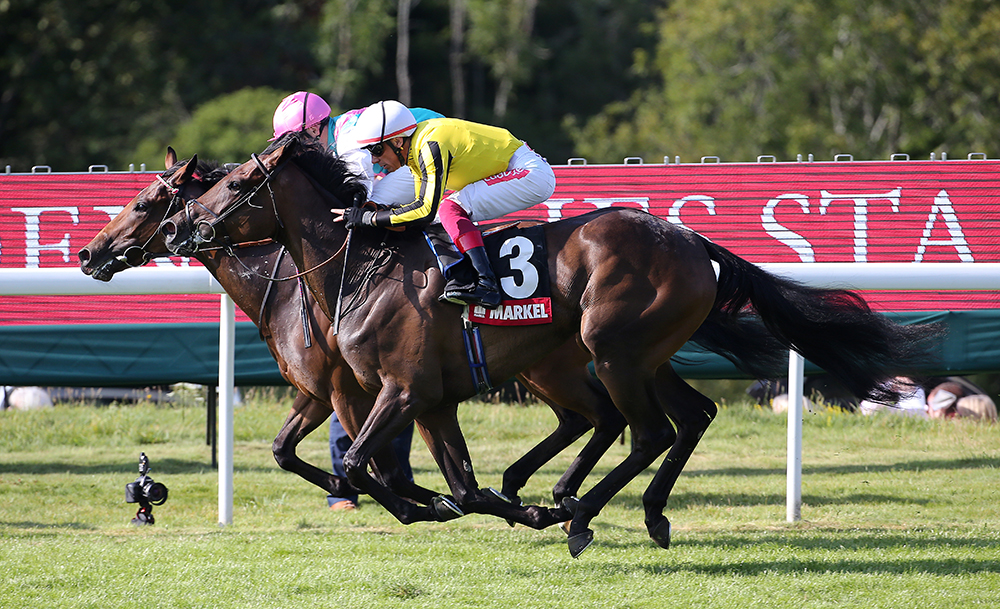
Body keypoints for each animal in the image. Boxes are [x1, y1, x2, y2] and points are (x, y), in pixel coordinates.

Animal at [80, 150, 624, 520]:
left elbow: (374, 466)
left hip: (547, 367)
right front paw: (423, 498)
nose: (89, 253)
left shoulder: (354, 391)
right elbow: (286, 450)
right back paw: (527, 487)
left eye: (144, 203)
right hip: (544, 368)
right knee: (591, 417)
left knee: (598, 415)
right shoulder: (318, 392)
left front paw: (413, 501)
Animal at [160, 133, 940, 556]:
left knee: (647, 428)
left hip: (613, 347)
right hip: (641, 354)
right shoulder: (429, 400)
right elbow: (455, 485)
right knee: (686, 416)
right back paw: (634, 510)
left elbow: (361, 465)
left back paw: (582, 512)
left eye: (235, 182)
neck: (364, 268)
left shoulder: (401, 390)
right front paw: (495, 504)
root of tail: (693, 242)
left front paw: (490, 508)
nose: (180, 229)